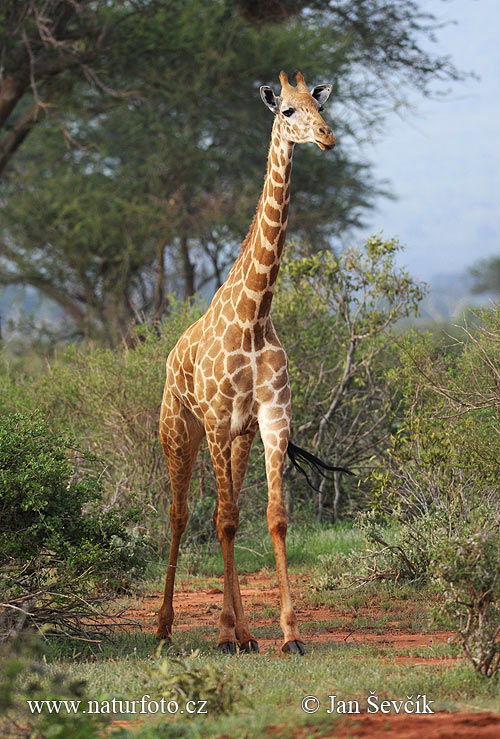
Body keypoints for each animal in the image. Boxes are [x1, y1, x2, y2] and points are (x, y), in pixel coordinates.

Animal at [156, 71, 336, 652]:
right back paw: (166, 627)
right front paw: (227, 633)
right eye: (286, 111)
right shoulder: (215, 419)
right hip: (180, 430)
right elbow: (226, 519)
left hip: (237, 435)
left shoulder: (273, 416)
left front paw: (288, 633)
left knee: (221, 509)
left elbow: (273, 516)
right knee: (182, 513)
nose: (326, 137)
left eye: (318, 105)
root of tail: (172, 357)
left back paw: (244, 630)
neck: (256, 313)